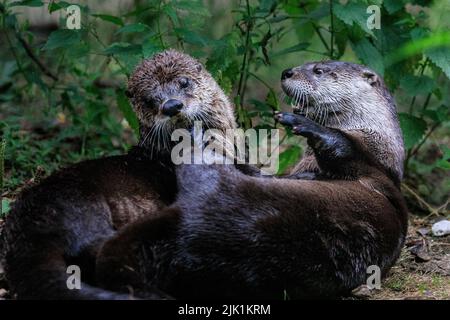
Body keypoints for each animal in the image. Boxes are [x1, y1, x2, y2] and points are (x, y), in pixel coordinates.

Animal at [96, 61, 410, 298]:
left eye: (319, 70)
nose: (287, 72)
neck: (375, 142)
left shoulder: (369, 162)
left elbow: (339, 145)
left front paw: (301, 121)